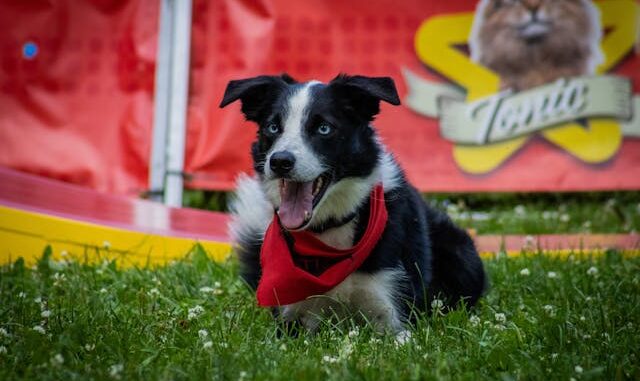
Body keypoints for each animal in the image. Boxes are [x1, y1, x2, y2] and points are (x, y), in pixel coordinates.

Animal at [220, 72, 484, 334]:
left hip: (461, 252)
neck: (330, 232)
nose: (280, 161)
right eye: (273, 127)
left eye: (324, 128)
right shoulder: (291, 321)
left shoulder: (395, 316)